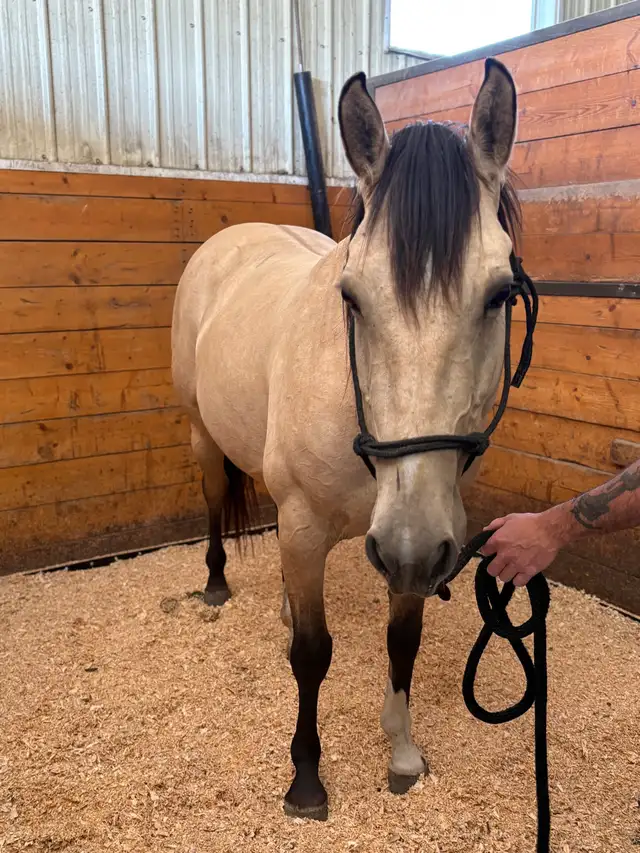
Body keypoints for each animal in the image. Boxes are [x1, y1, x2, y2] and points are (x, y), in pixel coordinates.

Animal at [172, 59, 521, 821]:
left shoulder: (424, 538)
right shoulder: (312, 525)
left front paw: (403, 753)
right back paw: (215, 584)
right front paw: (306, 778)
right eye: (352, 296)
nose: (409, 544)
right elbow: (312, 653)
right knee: (213, 499)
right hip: (204, 436)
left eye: (500, 294)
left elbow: (403, 641)